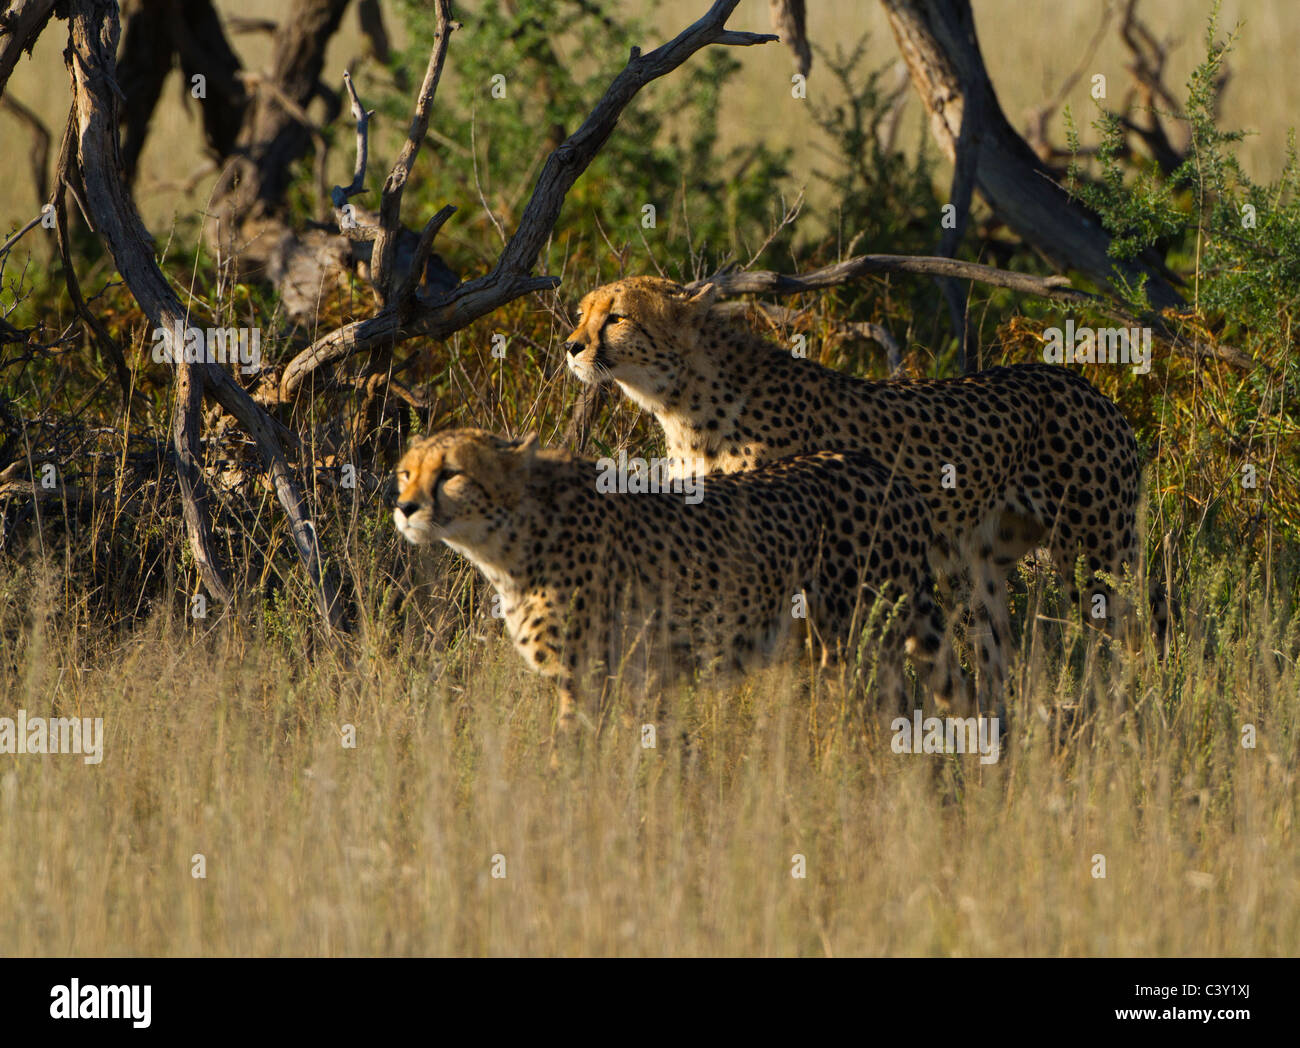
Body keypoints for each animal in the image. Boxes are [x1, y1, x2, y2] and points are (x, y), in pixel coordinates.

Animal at [392, 428, 965, 739]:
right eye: (405, 472)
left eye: (451, 473)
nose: (404, 507)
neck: (512, 537)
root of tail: (886, 473)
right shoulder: (639, 678)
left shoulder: (590, 679)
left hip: (853, 652)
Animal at [563, 276, 1157, 709]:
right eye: (582, 312)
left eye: (617, 316)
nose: (571, 346)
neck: (685, 401)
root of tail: (1092, 389)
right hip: (980, 569)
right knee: (996, 660)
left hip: (1097, 557)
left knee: (1140, 638)